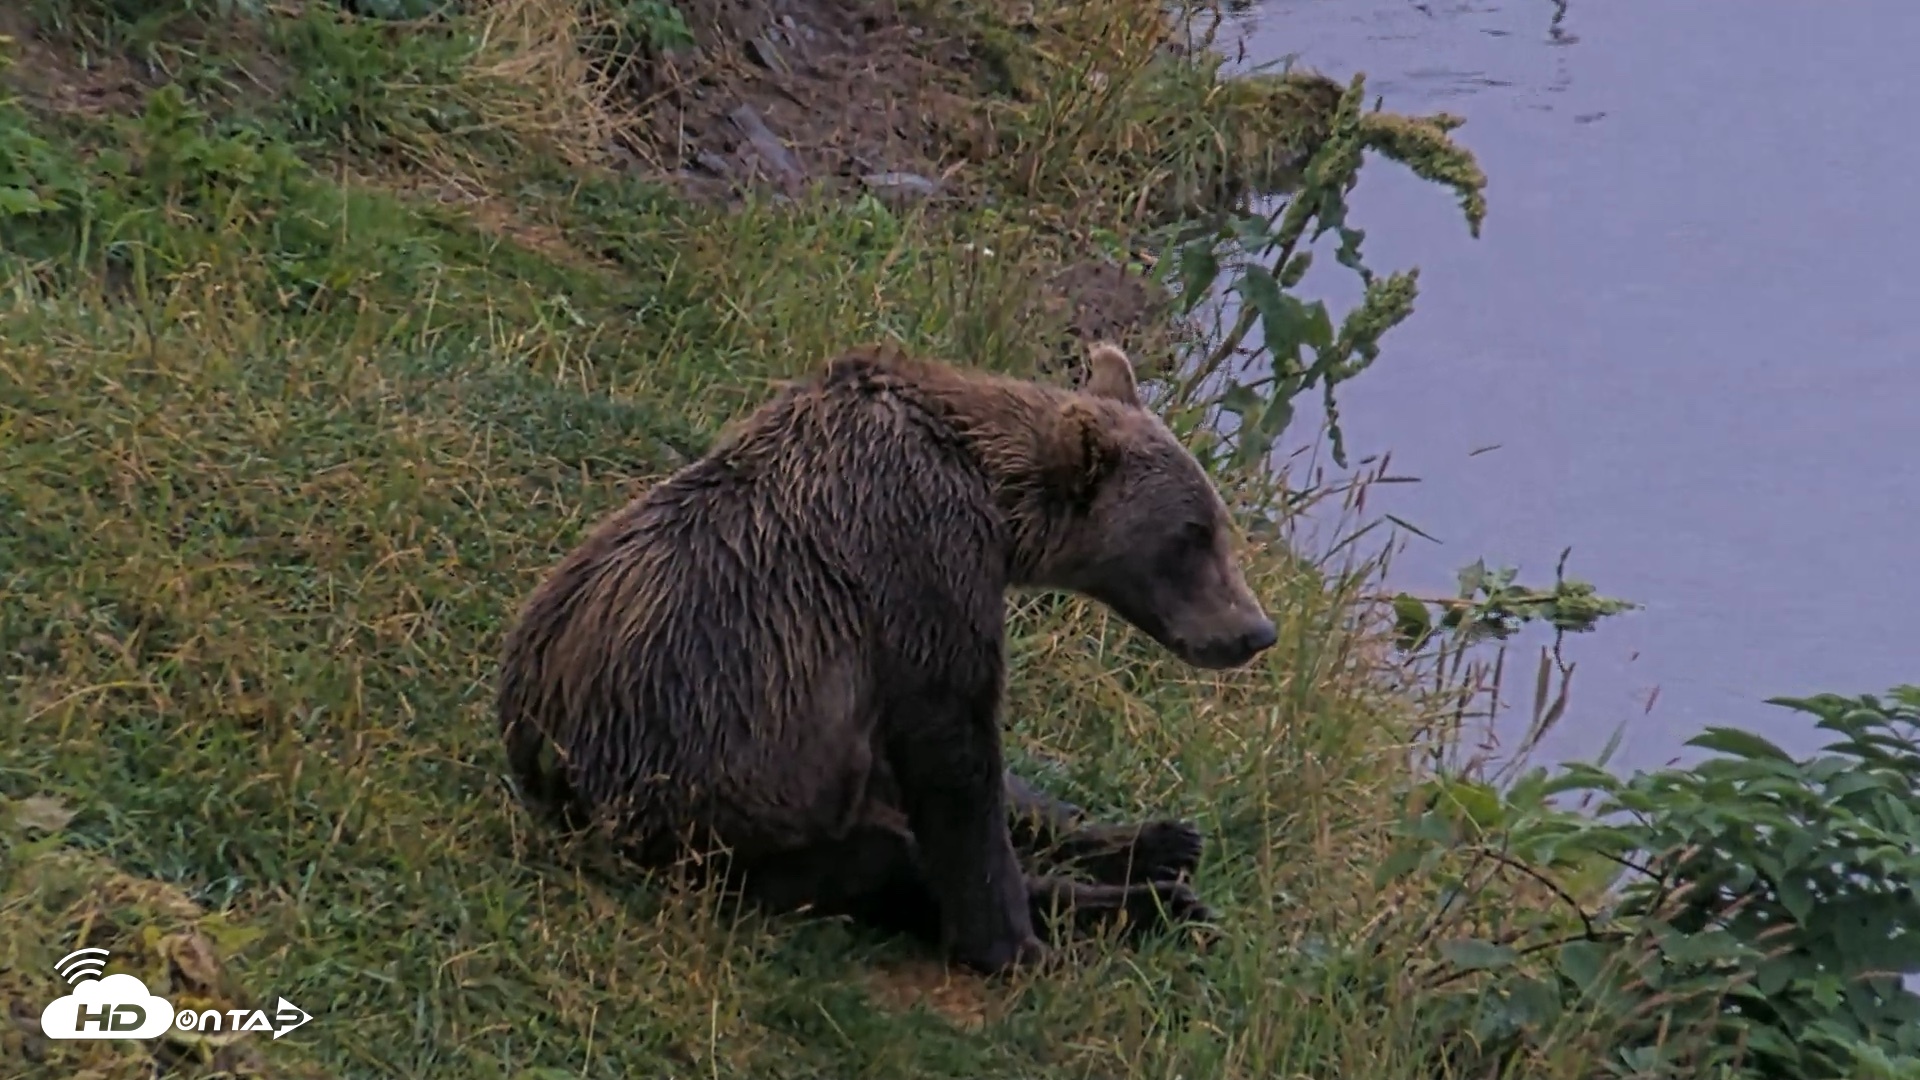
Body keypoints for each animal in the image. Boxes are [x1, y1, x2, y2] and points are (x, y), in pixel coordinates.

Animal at [495, 340, 1278, 975]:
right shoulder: (921, 561)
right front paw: (1014, 945)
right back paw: (1150, 903)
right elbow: (954, 756)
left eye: (1218, 524)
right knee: (885, 864)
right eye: (1191, 535)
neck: (994, 501)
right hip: (715, 822)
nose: (1256, 631)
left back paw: (1162, 846)